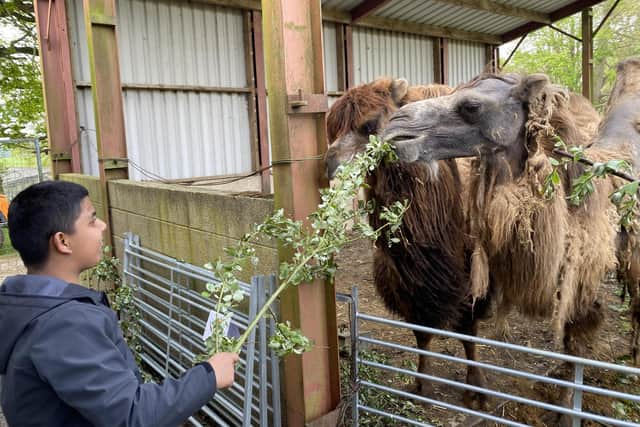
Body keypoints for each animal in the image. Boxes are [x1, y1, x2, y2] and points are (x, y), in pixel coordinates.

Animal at [324, 78, 490, 410]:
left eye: (369, 124)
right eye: (330, 129)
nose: (328, 163)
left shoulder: (472, 274)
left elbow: (468, 332)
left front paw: (476, 387)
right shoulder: (408, 281)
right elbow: (421, 333)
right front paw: (422, 384)